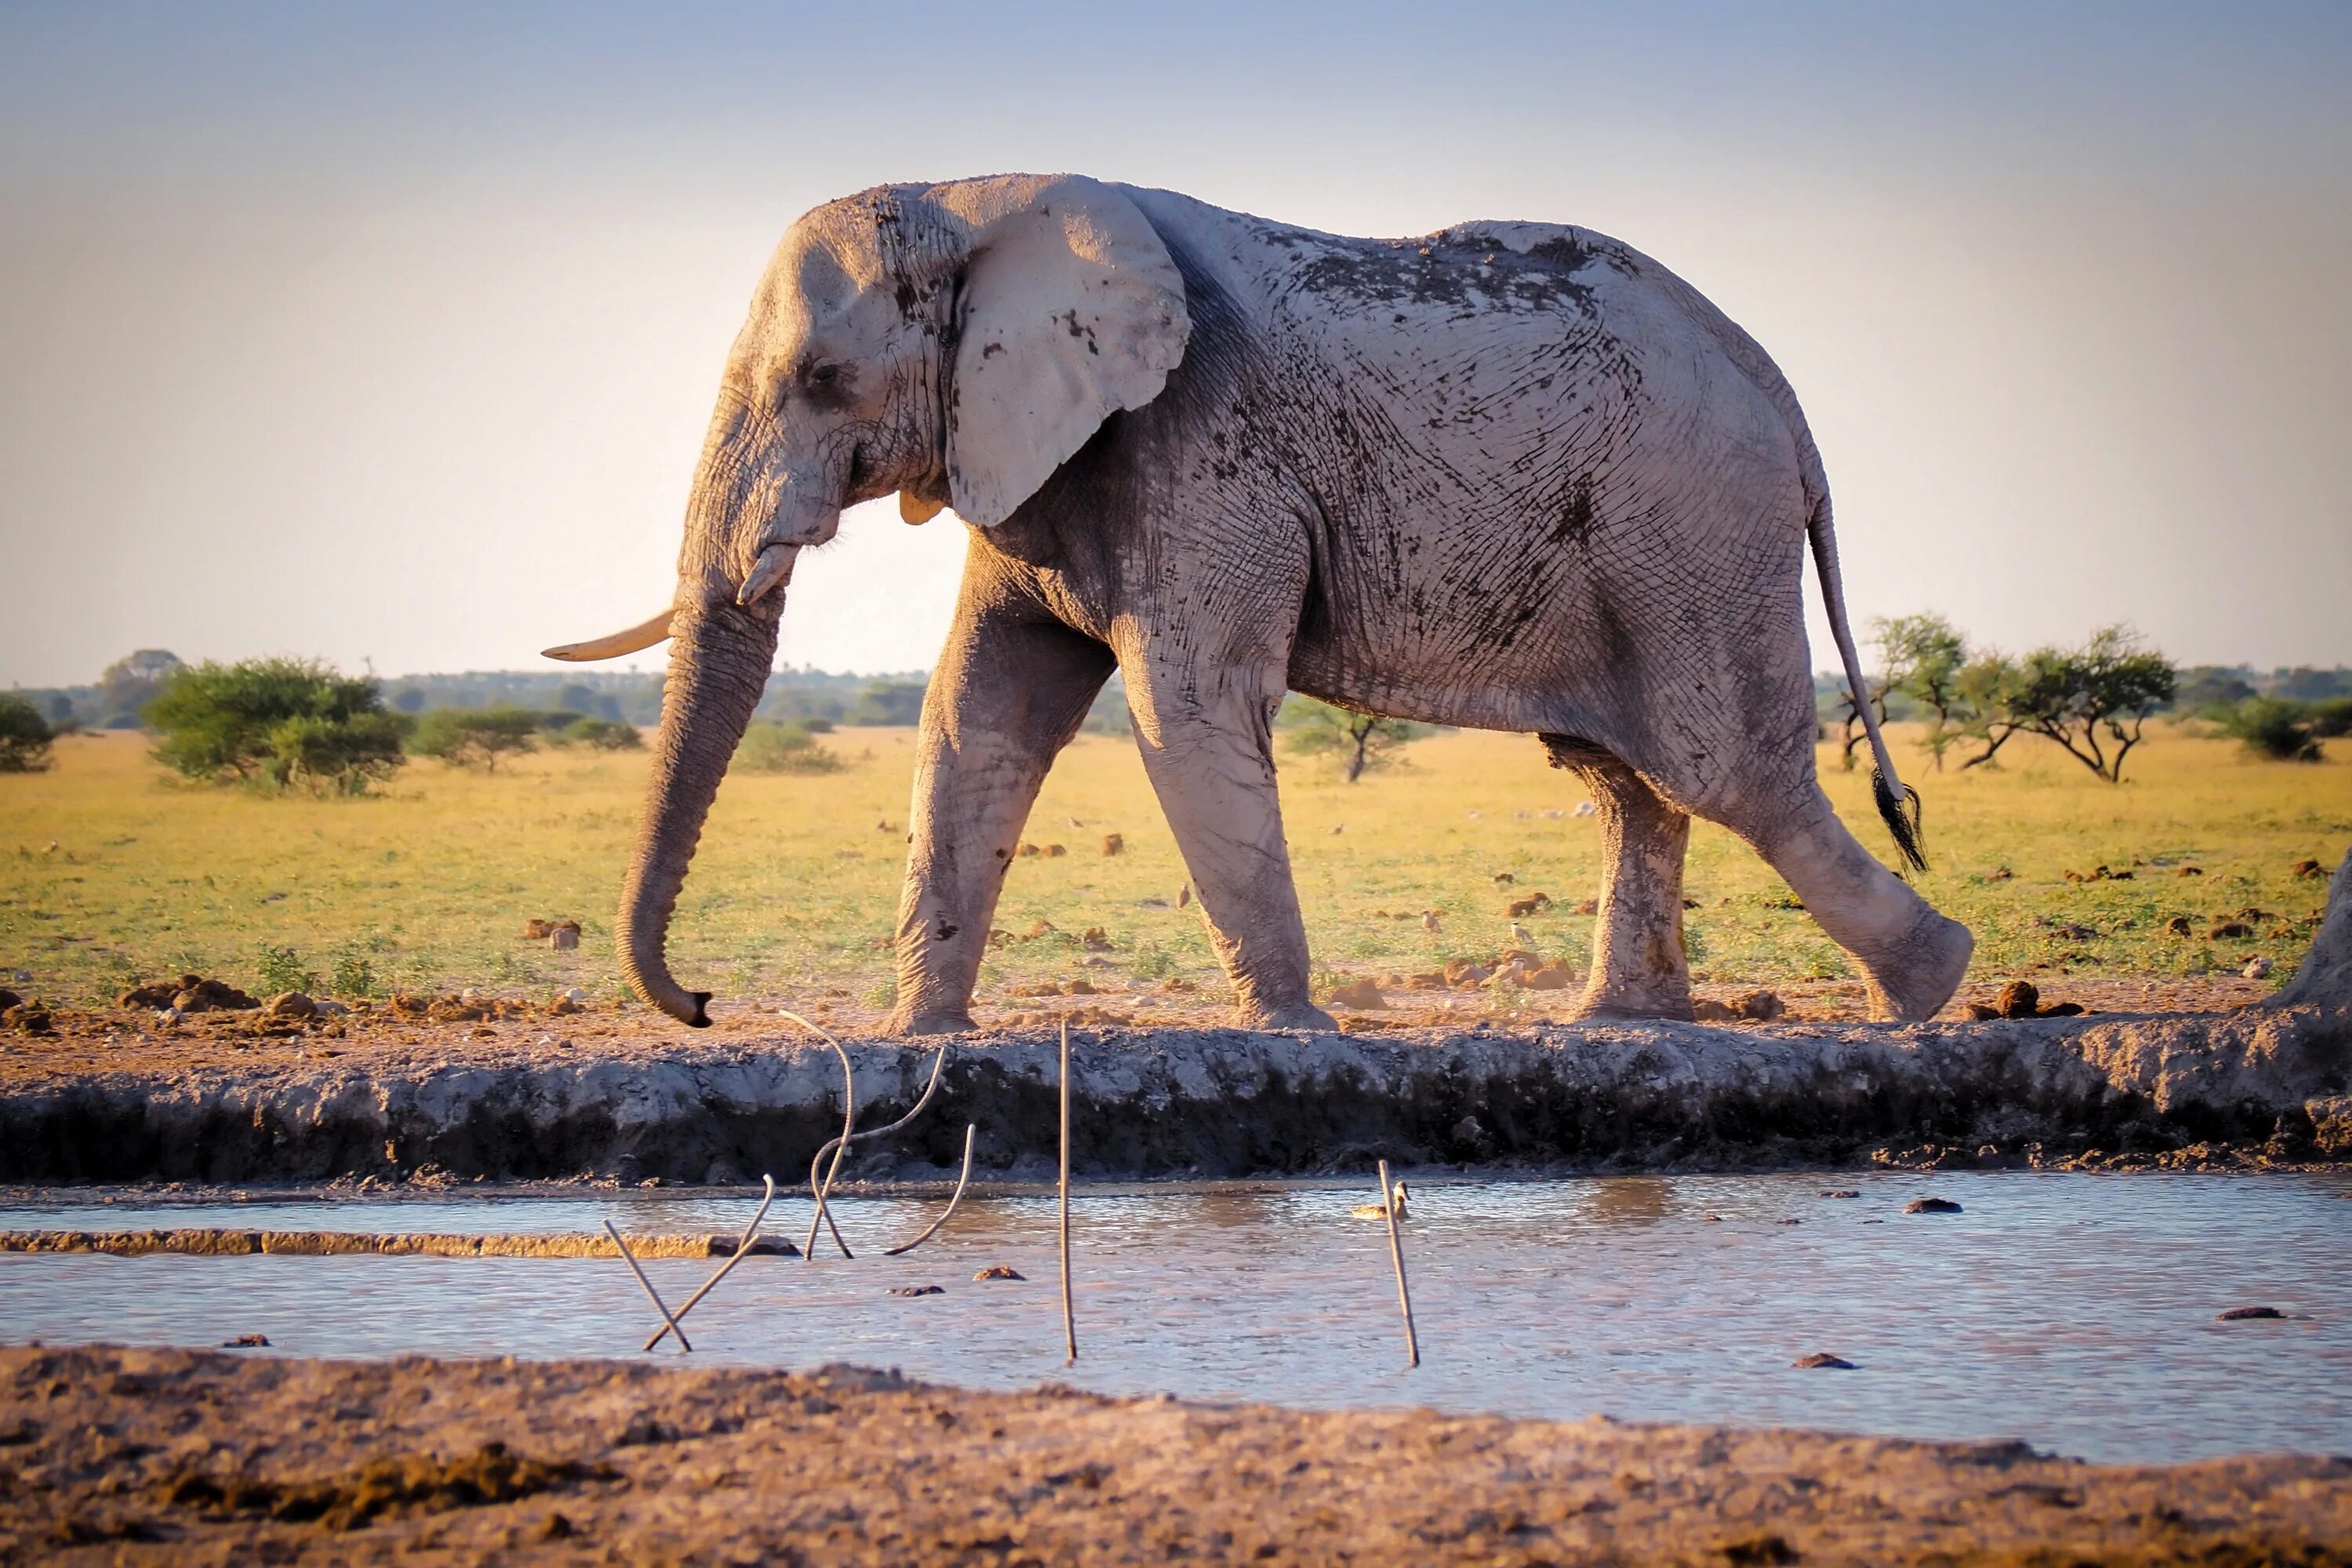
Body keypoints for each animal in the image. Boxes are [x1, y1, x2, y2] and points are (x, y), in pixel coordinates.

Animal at [546, 171, 1966, 1034]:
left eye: (825, 381)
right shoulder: (1042, 452)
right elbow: (976, 712)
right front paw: (921, 1038)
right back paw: (1622, 1023)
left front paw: (1294, 1029)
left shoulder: (1198, 442)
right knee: (1629, 775)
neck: (977, 195)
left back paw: (1928, 990)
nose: (704, 1007)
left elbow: (1188, 707)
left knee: (1728, 770)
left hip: (1688, 527)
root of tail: (1777, 386)